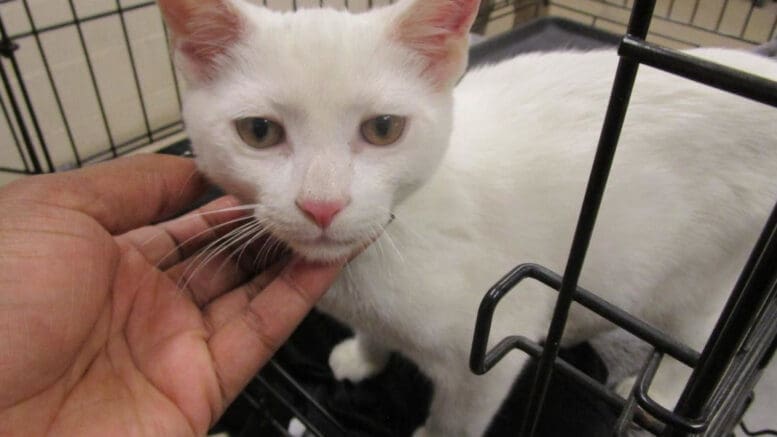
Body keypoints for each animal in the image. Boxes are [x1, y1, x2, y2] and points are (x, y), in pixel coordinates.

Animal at [158, 0, 776, 432]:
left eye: (384, 128)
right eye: (259, 132)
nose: (322, 205)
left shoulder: (494, 344)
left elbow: (459, 419)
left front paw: (431, 432)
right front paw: (365, 354)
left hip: (713, 272)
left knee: (695, 337)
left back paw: (664, 392)